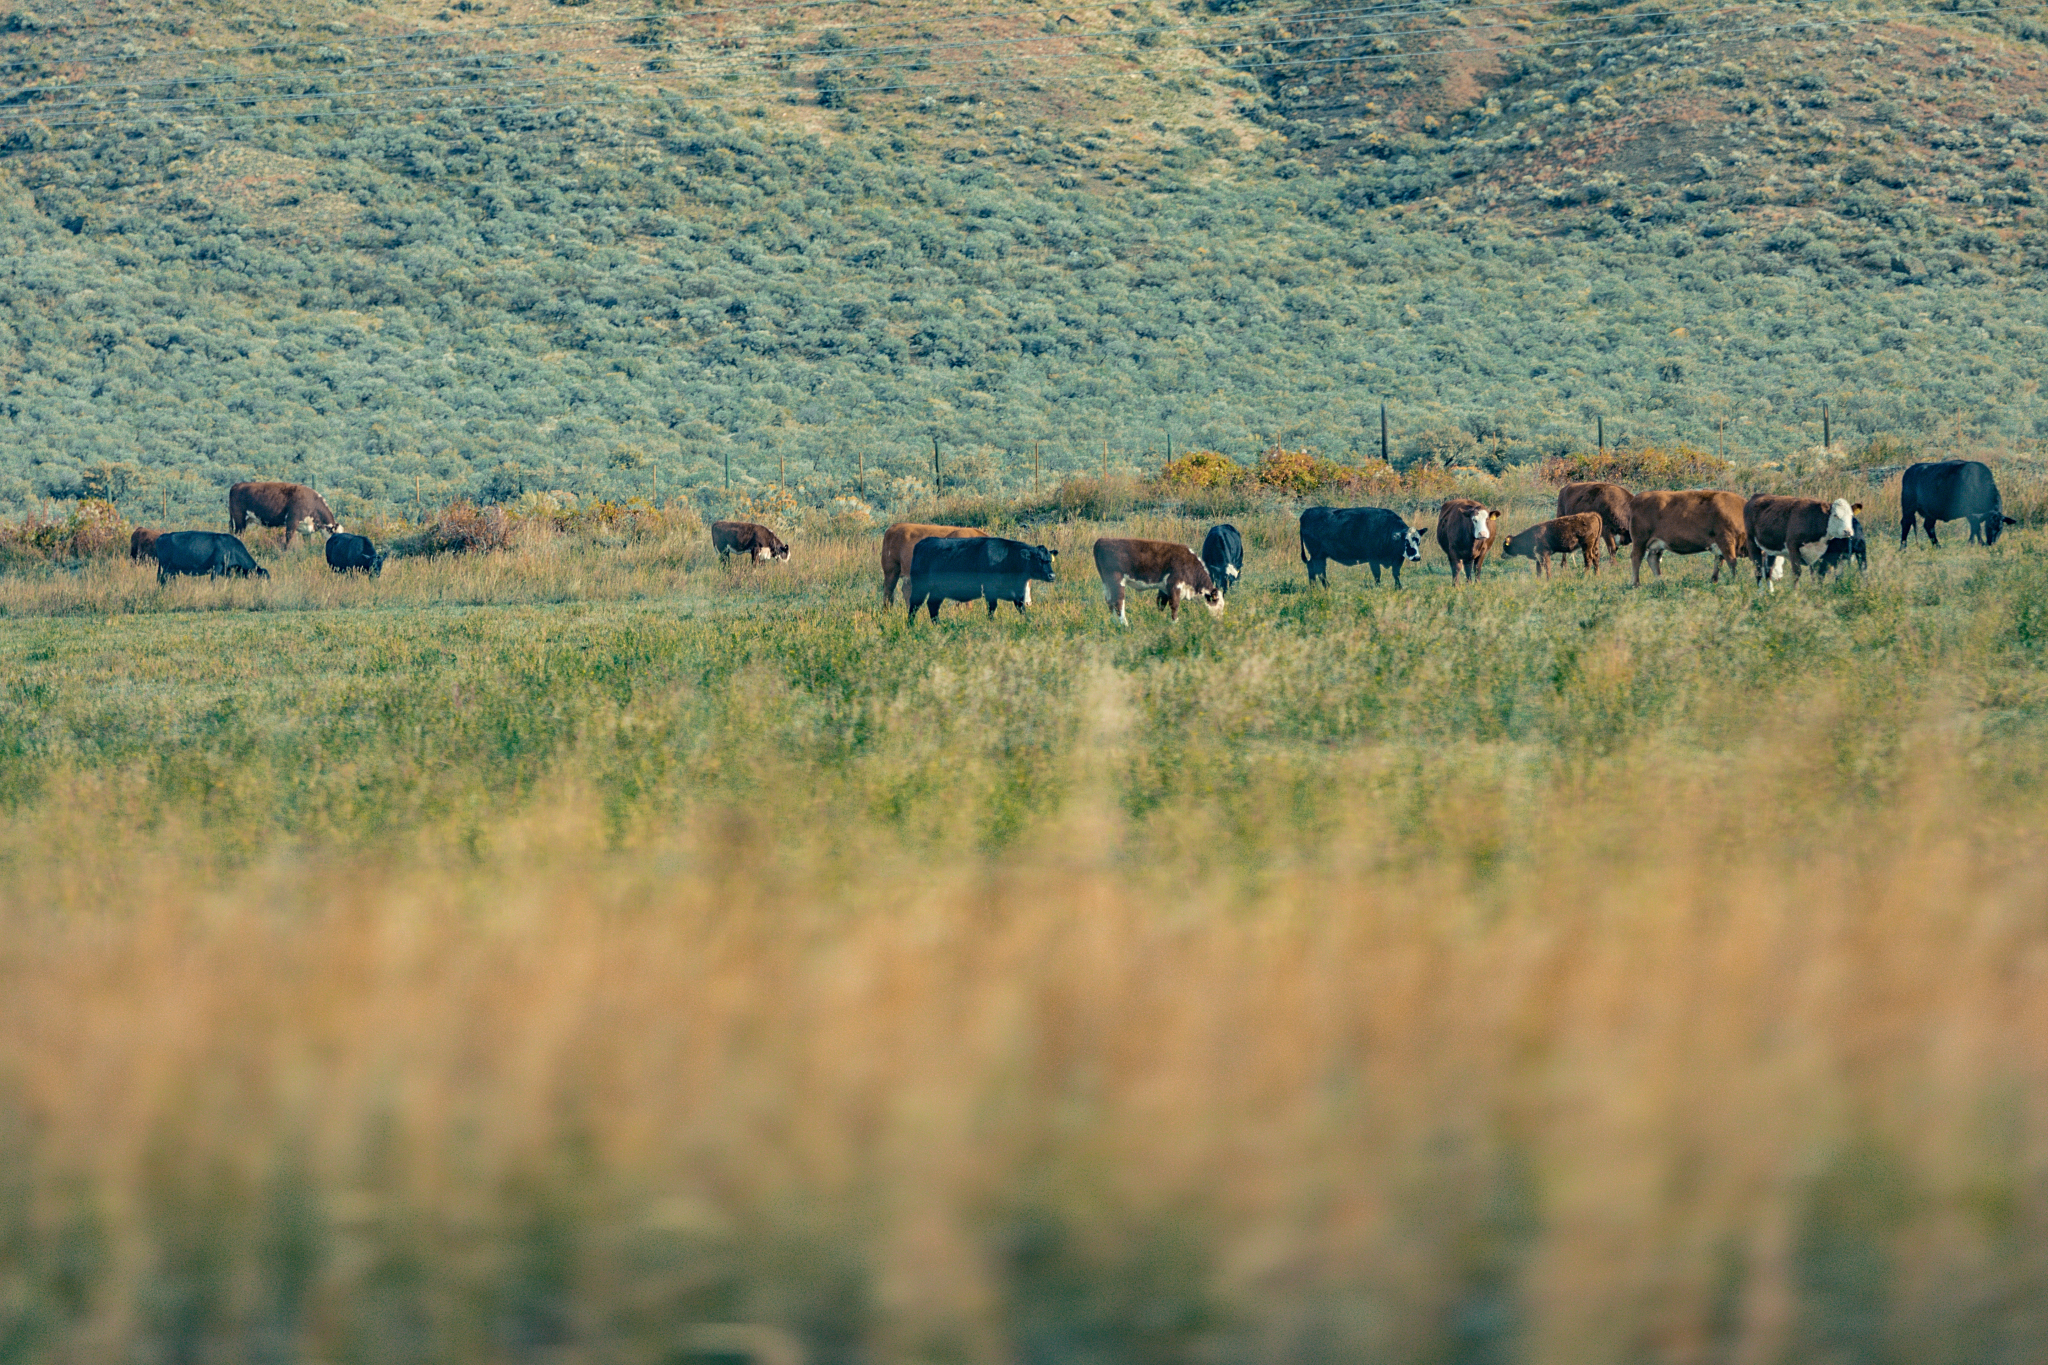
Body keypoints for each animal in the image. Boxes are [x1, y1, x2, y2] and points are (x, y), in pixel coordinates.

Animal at [905, 532, 1056, 626]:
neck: (1008, 558)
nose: (1052, 576)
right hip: (920, 587)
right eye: (1038, 559)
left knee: (932, 605)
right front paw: (991, 623)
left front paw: (1028, 621)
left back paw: (938, 625)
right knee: (915, 605)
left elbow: (1021, 608)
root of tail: (923, 542)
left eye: (1049, 560)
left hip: (938, 591)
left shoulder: (1017, 593)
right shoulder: (990, 591)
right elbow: (992, 608)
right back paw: (910, 625)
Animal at [1294, 505, 1425, 585]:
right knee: (1319, 571)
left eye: (1418, 541)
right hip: (1317, 555)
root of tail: (1306, 512)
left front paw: (1398, 588)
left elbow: (1396, 575)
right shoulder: (1373, 559)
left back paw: (1314, 588)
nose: (1417, 557)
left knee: (1312, 567)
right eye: (1406, 542)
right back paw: (1326, 587)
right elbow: (1377, 575)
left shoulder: (1398, 558)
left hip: (1318, 556)